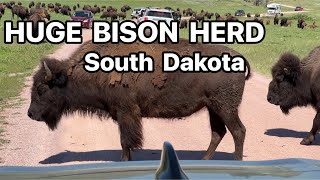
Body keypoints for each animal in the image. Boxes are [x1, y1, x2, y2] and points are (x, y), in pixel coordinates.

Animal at [27, 40, 251, 161]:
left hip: (226, 108)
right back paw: (204, 159)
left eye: (41, 89)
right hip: (214, 108)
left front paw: (124, 160)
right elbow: (125, 140)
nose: (30, 113)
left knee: (238, 131)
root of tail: (241, 59)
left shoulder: (126, 112)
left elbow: (125, 140)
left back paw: (236, 160)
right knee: (218, 133)